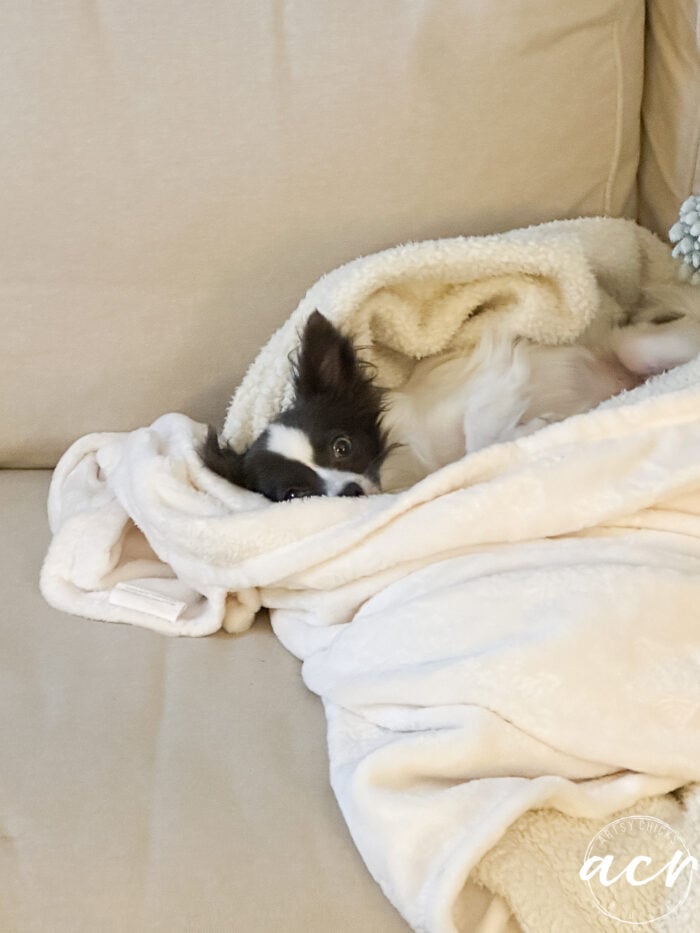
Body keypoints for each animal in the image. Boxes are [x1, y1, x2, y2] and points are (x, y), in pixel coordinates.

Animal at [202, 284, 700, 498]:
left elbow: (478, 434)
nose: (348, 491)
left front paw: (527, 429)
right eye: (295, 495)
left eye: (342, 447)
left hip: (637, 347)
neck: (406, 469)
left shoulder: (498, 372)